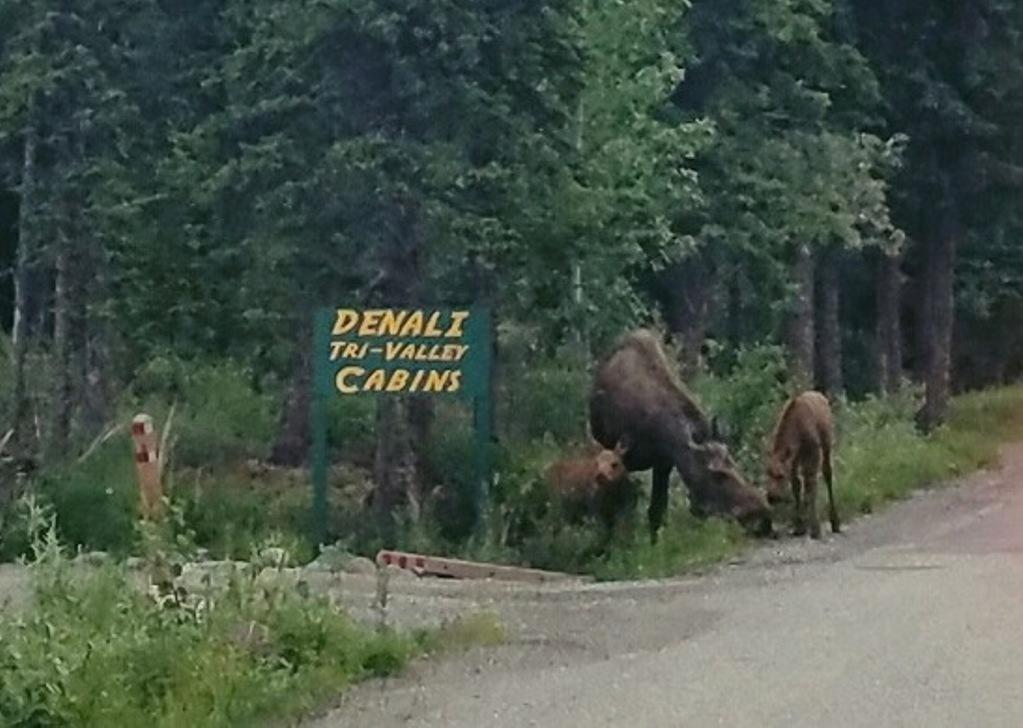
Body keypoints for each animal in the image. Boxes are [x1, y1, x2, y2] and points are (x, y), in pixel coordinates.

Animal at [769, 392, 838, 539]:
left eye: (781, 475)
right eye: (768, 473)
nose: (771, 497)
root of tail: (821, 395)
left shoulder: (813, 455)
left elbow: (809, 489)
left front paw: (815, 528)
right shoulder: (793, 461)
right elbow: (796, 487)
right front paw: (799, 526)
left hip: (827, 443)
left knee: (827, 474)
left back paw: (835, 521)